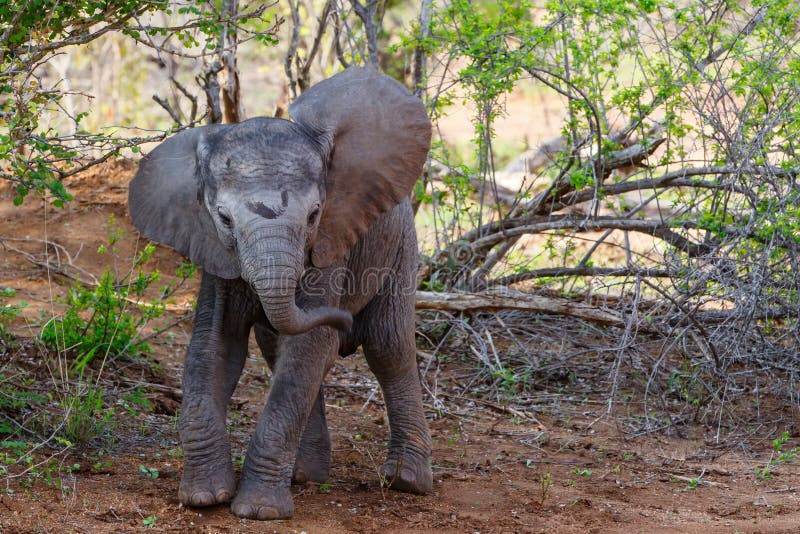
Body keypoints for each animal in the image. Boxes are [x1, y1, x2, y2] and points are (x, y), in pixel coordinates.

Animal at [129, 66, 434, 520]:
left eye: (313, 216)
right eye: (224, 218)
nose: (344, 318)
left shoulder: (332, 242)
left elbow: (308, 348)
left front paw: (258, 511)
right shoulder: (215, 253)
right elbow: (214, 347)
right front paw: (205, 497)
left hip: (399, 246)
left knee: (388, 347)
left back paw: (406, 482)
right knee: (279, 350)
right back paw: (306, 476)